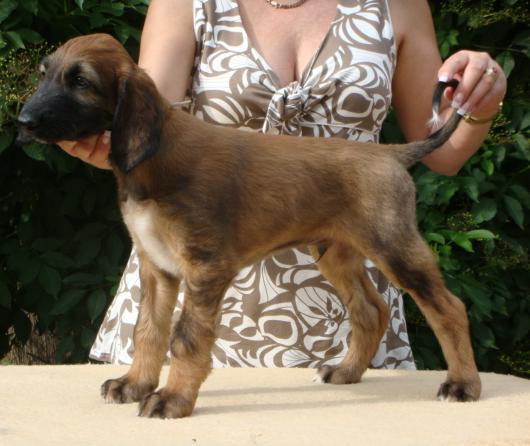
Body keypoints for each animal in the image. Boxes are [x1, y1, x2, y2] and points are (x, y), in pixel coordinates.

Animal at [17, 33, 481, 418]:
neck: (154, 161)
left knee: (448, 308)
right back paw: (345, 372)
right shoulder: (158, 268)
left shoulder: (206, 266)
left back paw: (462, 384)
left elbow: (185, 337)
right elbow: (148, 330)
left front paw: (173, 399)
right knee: (370, 311)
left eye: (81, 81)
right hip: (336, 253)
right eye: (44, 75)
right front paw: (134, 385)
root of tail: (392, 153)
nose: (23, 123)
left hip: (395, 246)